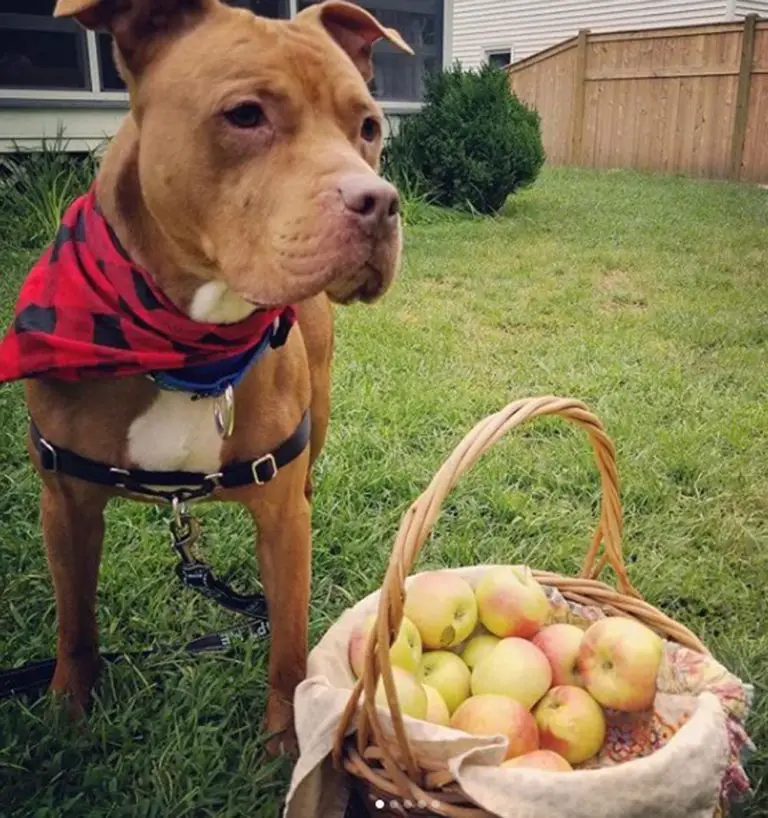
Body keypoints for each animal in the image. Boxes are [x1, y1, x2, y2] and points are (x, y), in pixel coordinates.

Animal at [22, 0, 408, 756]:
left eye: (369, 127)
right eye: (245, 114)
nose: (380, 202)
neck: (185, 348)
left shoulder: (283, 521)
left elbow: (287, 644)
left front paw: (285, 744)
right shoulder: (65, 505)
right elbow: (74, 621)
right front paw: (66, 714)